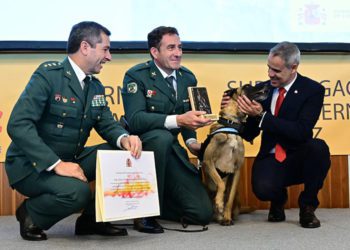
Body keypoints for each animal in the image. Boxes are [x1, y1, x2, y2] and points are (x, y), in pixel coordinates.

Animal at [200, 83, 270, 225]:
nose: (267, 84)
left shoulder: (237, 170)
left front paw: (227, 217)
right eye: (247, 86)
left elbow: (229, 199)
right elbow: (220, 183)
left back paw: (223, 216)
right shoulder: (207, 162)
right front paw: (219, 202)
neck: (231, 125)